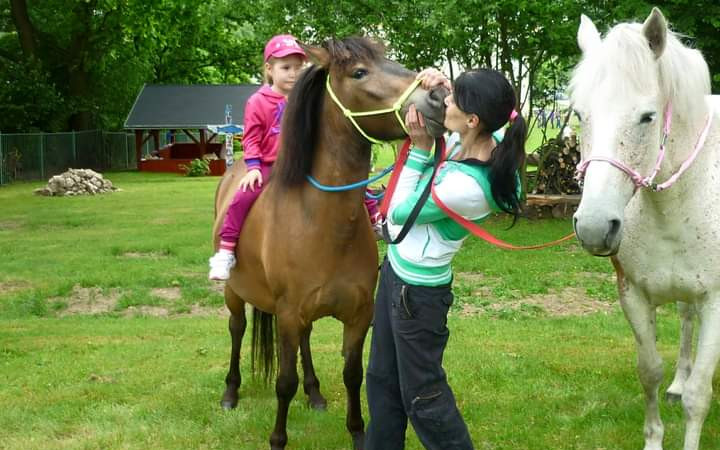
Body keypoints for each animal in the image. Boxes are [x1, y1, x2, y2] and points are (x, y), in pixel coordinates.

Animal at [212, 37, 444, 448]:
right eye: (359, 72)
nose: (437, 96)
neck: (325, 225)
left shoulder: (358, 315)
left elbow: (353, 375)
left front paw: (358, 432)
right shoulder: (288, 314)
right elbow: (283, 383)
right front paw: (278, 439)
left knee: (305, 342)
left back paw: (315, 392)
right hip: (235, 295)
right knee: (237, 330)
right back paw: (231, 392)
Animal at [572, 7, 716, 450]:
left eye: (647, 117)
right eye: (580, 115)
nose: (594, 227)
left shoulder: (716, 300)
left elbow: (699, 396)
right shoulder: (633, 294)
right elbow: (649, 371)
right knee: (685, 321)